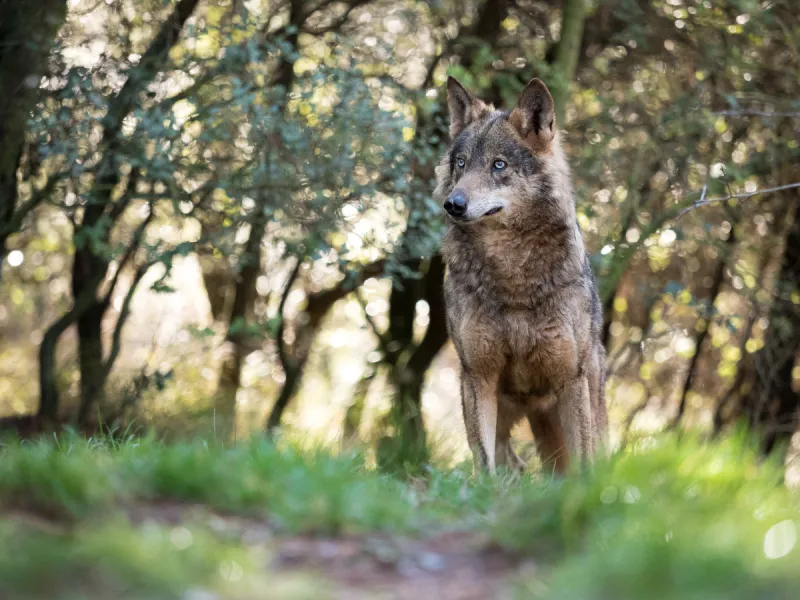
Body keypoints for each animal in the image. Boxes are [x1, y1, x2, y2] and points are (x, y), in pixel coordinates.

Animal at [438, 77, 608, 474]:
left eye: (498, 165)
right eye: (461, 163)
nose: (453, 204)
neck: (511, 276)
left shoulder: (570, 379)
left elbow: (584, 464)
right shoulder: (477, 376)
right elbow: (483, 461)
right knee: (512, 464)